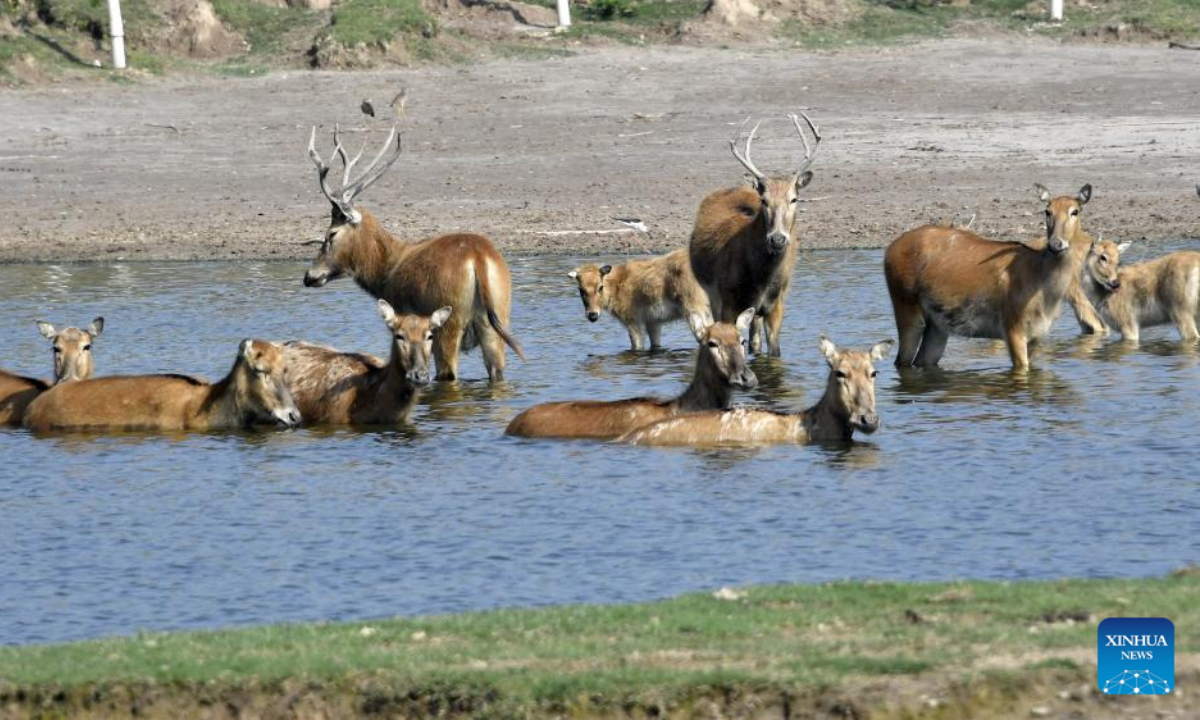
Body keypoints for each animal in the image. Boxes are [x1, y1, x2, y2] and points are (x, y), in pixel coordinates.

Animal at [303, 125, 523, 383]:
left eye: (331, 233)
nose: (310, 275)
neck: (388, 270)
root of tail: (478, 256)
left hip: (447, 328)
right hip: (496, 323)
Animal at [568, 248, 711, 350]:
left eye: (600, 287)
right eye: (581, 290)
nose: (592, 315)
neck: (617, 285)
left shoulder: (633, 321)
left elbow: (637, 346)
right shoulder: (653, 321)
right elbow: (655, 344)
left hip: (694, 309)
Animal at [688, 113, 821, 357]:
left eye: (794, 198)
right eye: (764, 200)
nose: (777, 239)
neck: (760, 278)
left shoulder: (777, 301)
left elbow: (775, 350)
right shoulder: (728, 298)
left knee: (755, 338)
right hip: (713, 294)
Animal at [885, 184, 1094, 371]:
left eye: (1075, 211)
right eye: (1047, 211)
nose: (1056, 243)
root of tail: (888, 250)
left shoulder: (1037, 335)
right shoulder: (1012, 327)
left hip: (938, 325)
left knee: (921, 359)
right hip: (905, 306)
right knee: (902, 360)